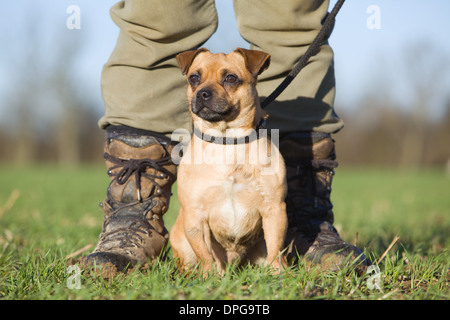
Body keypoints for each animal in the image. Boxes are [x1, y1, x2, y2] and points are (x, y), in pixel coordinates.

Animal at [169, 47, 288, 276]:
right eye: (194, 78)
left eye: (230, 78)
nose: (202, 93)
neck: (227, 141)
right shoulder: (195, 216)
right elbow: (205, 254)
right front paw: (209, 277)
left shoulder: (274, 209)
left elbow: (275, 248)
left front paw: (277, 275)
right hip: (182, 242)